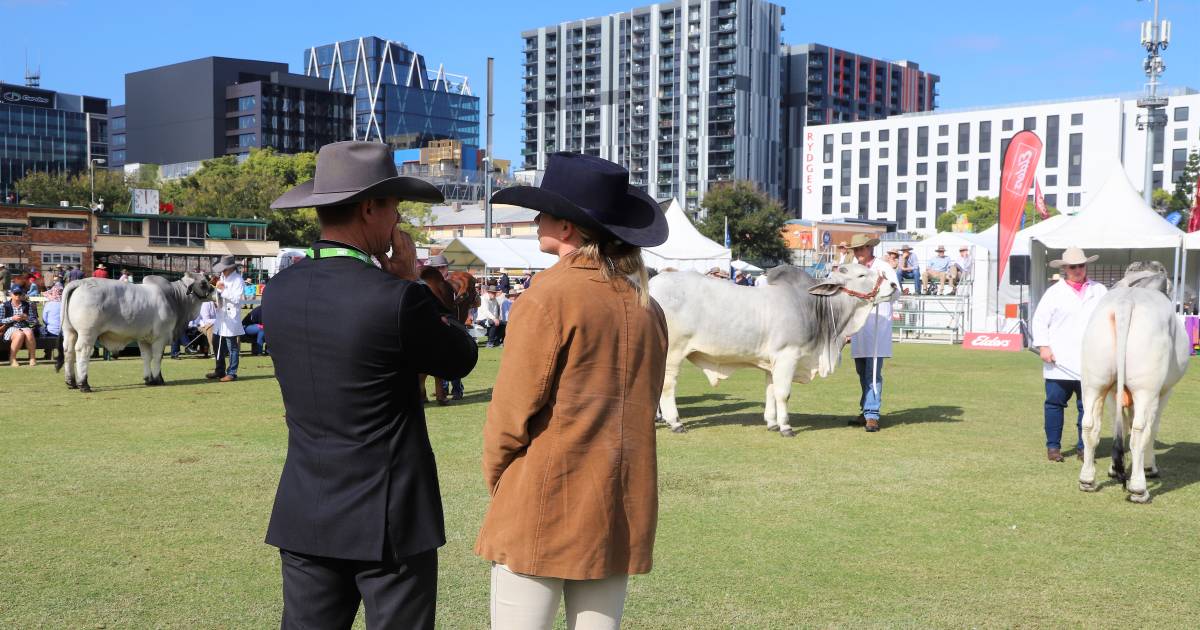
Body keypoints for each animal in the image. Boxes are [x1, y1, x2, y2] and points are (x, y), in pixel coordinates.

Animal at [56, 272, 214, 391]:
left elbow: (146, 357)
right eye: (203, 283)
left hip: (70, 331)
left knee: (68, 350)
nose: (215, 291)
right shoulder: (161, 337)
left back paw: (71, 382)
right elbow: (157, 358)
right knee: (82, 351)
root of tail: (80, 283)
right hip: (87, 333)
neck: (175, 298)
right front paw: (158, 379)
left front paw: (148, 379)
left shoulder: (143, 339)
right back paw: (84, 384)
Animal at [652, 262, 897, 434]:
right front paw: (786, 427)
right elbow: (783, 393)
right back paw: (675, 422)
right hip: (672, 354)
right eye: (861, 275)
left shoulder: (773, 363)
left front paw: (771, 423)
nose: (894, 285)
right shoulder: (787, 355)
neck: (813, 306)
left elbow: (770, 391)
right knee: (667, 386)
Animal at [1080, 264, 1190, 501]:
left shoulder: (1114, 392)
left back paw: (1087, 480)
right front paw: (1150, 467)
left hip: (1094, 383)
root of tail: (1126, 301)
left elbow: (1120, 423)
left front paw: (1113, 469)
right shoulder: (1165, 391)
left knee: (1090, 425)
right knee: (1141, 430)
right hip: (1146, 388)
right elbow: (1151, 428)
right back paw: (1139, 489)